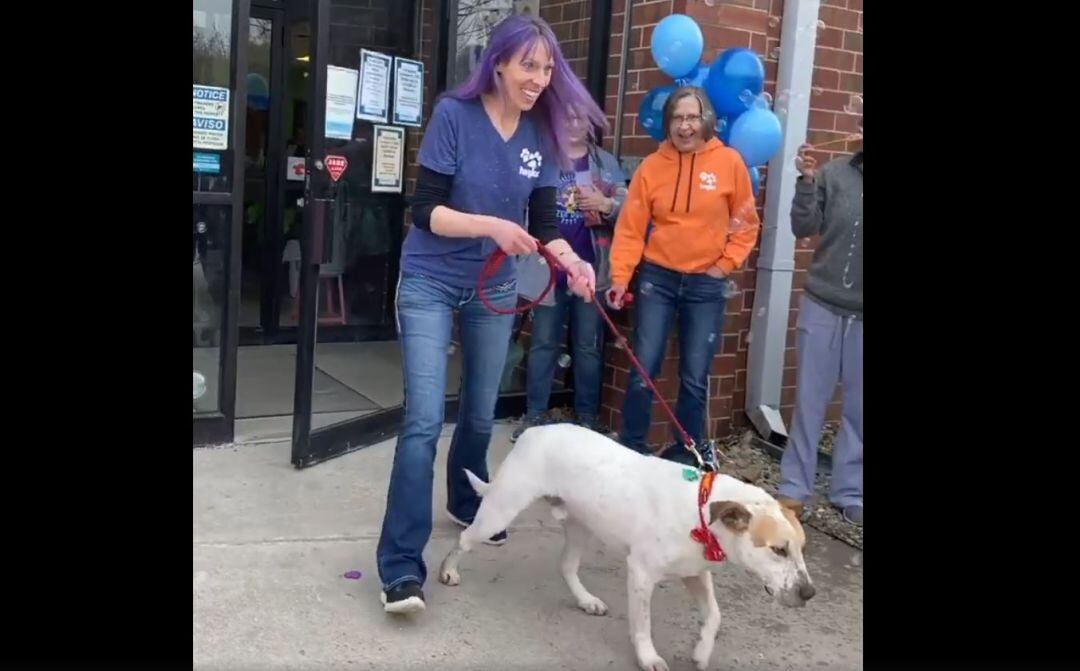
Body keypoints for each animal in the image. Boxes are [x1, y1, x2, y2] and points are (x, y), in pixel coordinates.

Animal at [436, 423, 812, 669]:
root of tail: (534, 430)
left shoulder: (695, 573)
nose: (809, 594)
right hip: (500, 511)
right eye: (778, 550)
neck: (702, 509)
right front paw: (649, 658)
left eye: (802, 548)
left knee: (566, 566)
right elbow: (643, 624)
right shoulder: (642, 574)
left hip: (580, 525)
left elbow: (714, 616)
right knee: (464, 540)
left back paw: (586, 600)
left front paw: (702, 652)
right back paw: (448, 571)